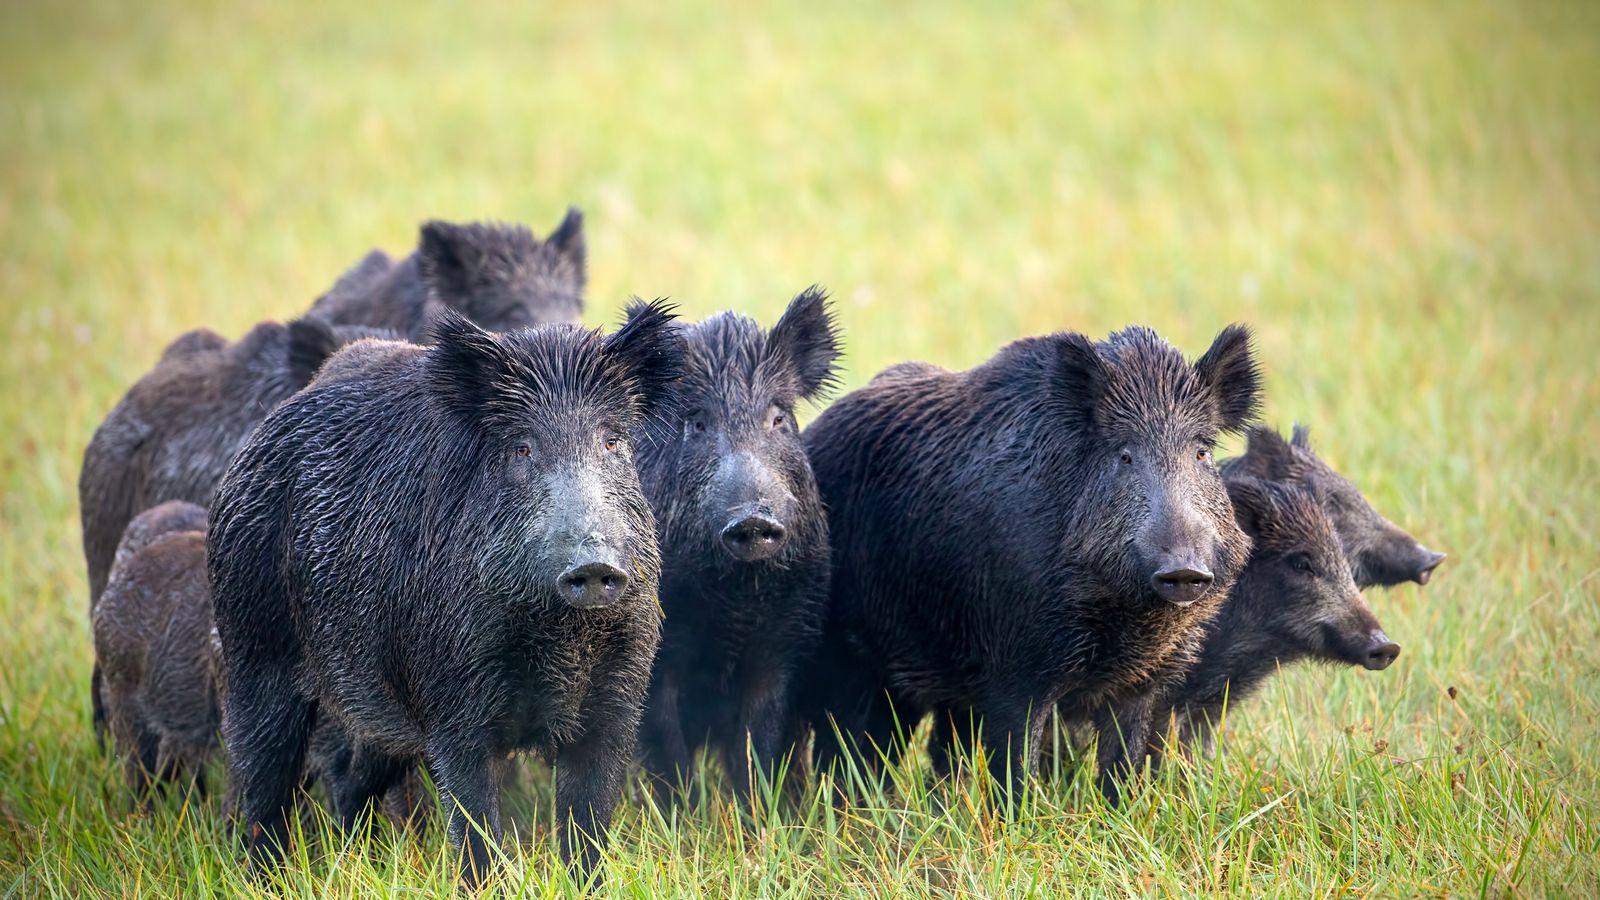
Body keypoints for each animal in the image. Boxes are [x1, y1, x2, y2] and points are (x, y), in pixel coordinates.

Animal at [208, 303, 684, 887]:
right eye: (521, 448)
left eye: (612, 442)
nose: (594, 564)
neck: (559, 637)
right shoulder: (455, 703)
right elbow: (476, 826)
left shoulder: (616, 701)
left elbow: (588, 825)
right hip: (254, 648)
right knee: (262, 780)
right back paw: (265, 876)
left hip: (370, 702)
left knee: (350, 776)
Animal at [633, 287, 841, 803]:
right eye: (697, 423)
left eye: (779, 417)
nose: (753, 518)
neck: (736, 600)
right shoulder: (658, 657)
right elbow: (668, 752)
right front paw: (686, 816)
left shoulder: (786, 643)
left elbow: (759, 745)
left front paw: (760, 814)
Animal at [799, 324, 1261, 799]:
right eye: (1124, 454)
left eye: (1202, 453)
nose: (1184, 569)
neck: (1125, 616)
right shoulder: (1016, 668)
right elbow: (1017, 767)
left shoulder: (1143, 682)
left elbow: (1123, 768)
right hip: (849, 659)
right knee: (850, 750)